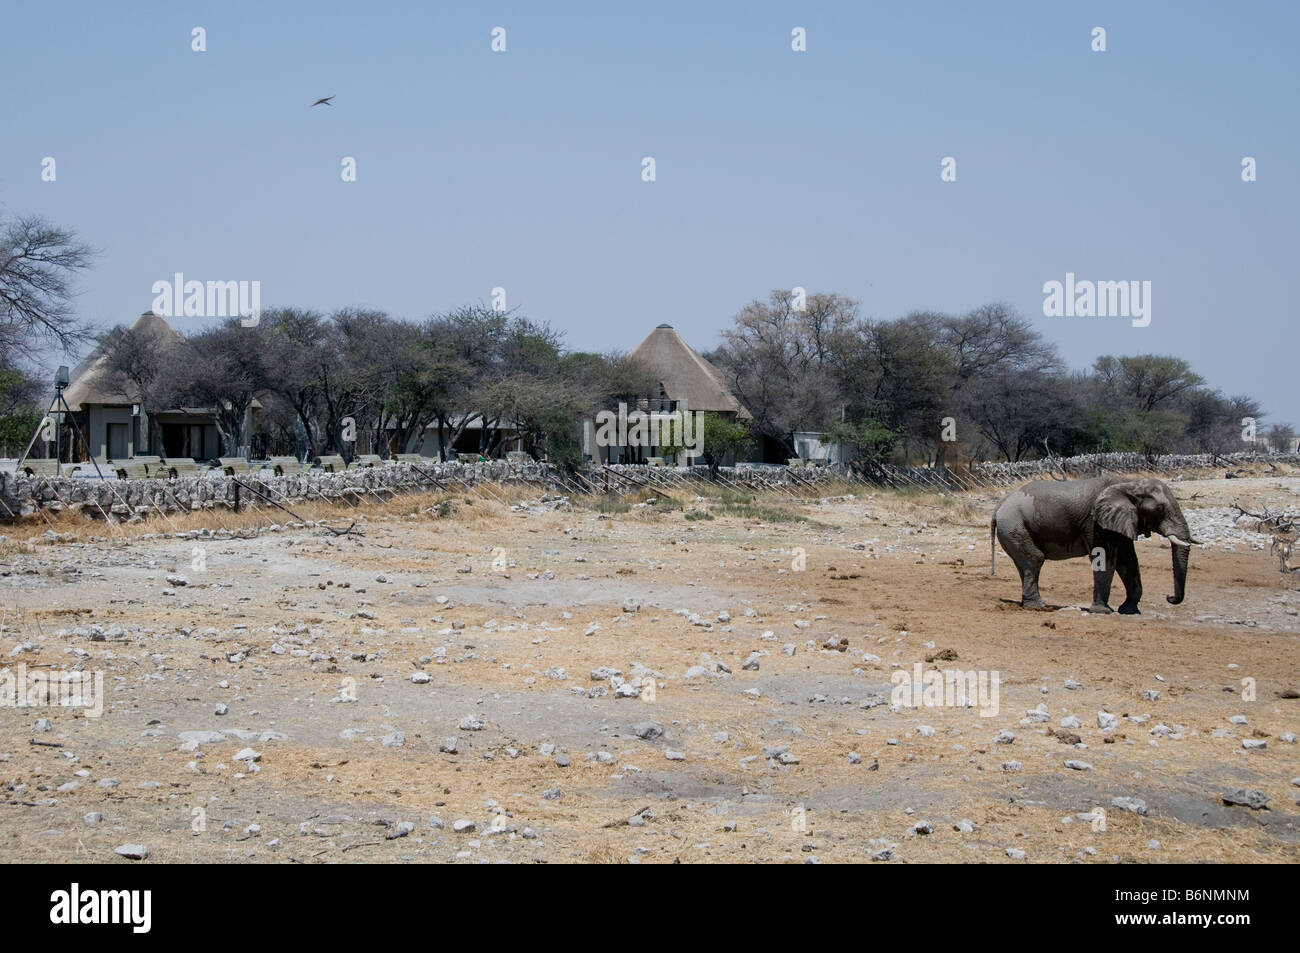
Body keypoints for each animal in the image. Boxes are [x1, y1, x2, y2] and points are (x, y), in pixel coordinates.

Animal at [993, 473, 1196, 608]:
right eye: (1159, 509)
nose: (1169, 597)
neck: (1129, 484)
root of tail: (999, 505)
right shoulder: (1095, 523)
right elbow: (1104, 557)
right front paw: (1102, 611)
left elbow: (1128, 560)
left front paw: (1128, 610)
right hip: (1013, 524)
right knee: (1035, 559)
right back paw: (1039, 606)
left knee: (1026, 563)